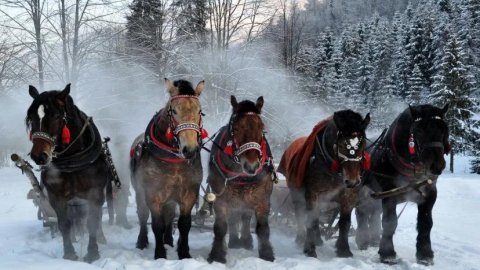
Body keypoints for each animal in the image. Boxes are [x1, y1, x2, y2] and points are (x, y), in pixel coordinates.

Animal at [25, 84, 110, 262]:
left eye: (56, 115)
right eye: (30, 117)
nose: (38, 156)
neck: (72, 161)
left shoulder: (95, 194)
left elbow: (93, 222)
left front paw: (92, 253)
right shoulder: (56, 197)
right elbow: (64, 224)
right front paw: (70, 253)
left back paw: (100, 238)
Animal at [129, 78, 206, 260]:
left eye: (200, 111)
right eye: (174, 111)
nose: (190, 149)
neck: (173, 162)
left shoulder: (189, 193)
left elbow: (184, 224)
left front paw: (184, 252)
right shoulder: (153, 194)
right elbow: (156, 224)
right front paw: (160, 254)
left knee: (170, 216)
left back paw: (168, 240)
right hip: (140, 191)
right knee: (143, 215)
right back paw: (142, 241)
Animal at [205, 95, 274, 264]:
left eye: (261, 127)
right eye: (236, 128)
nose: (252, 165)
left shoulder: (262, 197)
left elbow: (262, 228)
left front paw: (267, 254)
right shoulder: (221, 197)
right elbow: (221, 227)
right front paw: (217, 254)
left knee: (245, 216)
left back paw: (245, 240)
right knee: (233, 217)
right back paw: (235, 241)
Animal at [278, 109, 372, 258]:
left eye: (362, 145)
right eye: (341, 145)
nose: (352, 181)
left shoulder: (349, 195)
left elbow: (344, 223)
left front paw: (343, 250)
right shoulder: (312, 193)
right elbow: (311, 220)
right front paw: (310, 249)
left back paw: (318, 240)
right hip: (296, 192)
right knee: (300, 214)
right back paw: (301, 238)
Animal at [356, 104, 450, 266]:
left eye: (444, 130)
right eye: (419, 131)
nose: (437, 166)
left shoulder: (430, 193)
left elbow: (426, 224)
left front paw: (425, 255)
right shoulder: (389, 193)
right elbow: (390, 222)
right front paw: (387, 254)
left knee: (373, 213)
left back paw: (373, 239)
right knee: (361, 213)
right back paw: (362, 240)